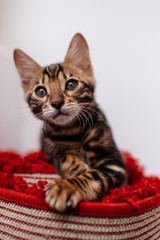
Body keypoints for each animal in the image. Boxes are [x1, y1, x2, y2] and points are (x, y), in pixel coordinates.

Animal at [13, 33, 126, 212]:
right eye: (41, 91)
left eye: (71, 84)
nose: (57, 102)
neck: (72, 131)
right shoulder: (49, 149)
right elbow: (63, 156)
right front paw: (78, 168)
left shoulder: (115, 165)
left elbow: (94, 174)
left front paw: (66, 187)